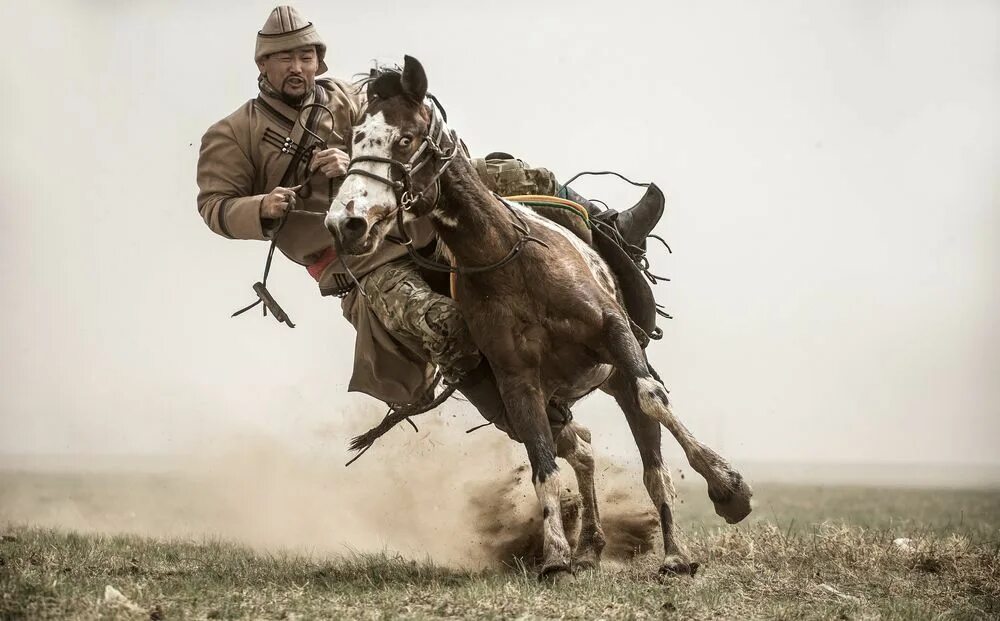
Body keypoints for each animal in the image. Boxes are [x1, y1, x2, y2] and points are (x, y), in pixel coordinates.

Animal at [324, 55, 752, 580]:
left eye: (404, 138)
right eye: (354, 139)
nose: (346, 222)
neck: (507, 259)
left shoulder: (615, 334)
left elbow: (654, 401)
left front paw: (727, 488)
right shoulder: (517, 381)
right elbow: (542, 461)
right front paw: (555, 556)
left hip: (619, 372)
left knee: (649, 444)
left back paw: (674, 551)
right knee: (581, 449)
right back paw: (589, 545)